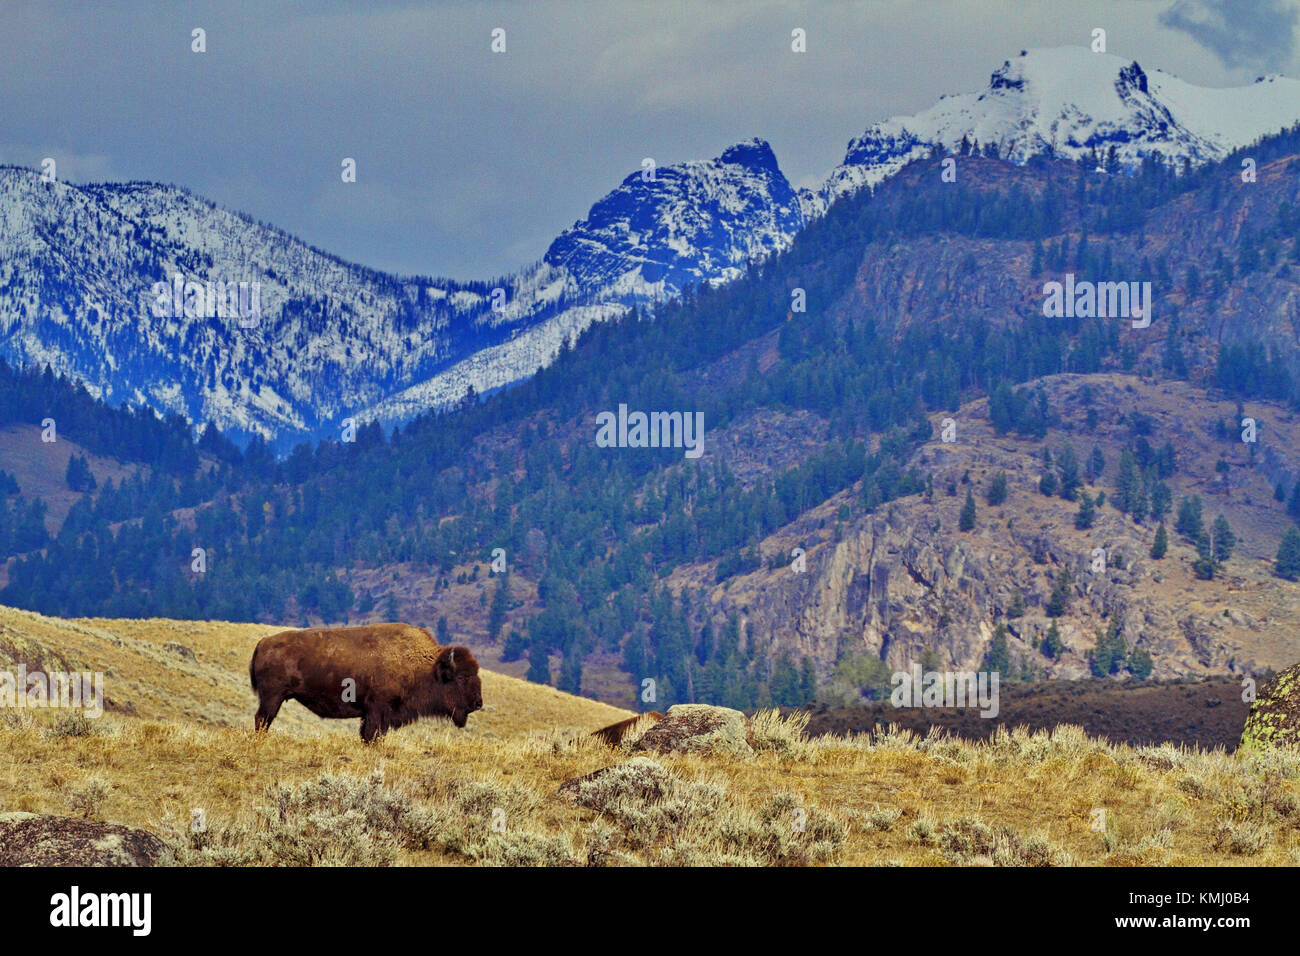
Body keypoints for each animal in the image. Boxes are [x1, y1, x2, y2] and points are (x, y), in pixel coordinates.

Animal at [248, 624, 483, 743]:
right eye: (461, 677)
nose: (478, 703)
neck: (425, 667)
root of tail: (263, 642)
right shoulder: (376, 711)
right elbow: (370, 735)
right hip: (273, 697)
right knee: (262, 719)